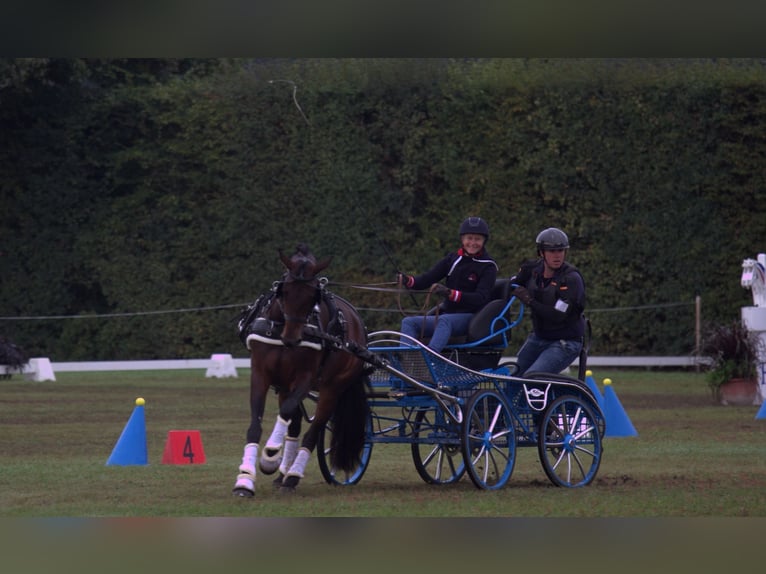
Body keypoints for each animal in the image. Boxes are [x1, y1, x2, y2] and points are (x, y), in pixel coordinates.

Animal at [234, 245, 372, 498]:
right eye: (284, 291)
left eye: (312, 297)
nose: (292, 338)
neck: (280, 329)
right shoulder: (260, 375)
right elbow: (256, 425)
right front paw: (245, 479)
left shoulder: (306, 379)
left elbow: (288, 413)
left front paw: (270, 454)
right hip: (285, 387)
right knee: (295, 426)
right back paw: (283, 474)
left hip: (331, 389)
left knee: (312, 432)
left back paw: (292, 476)